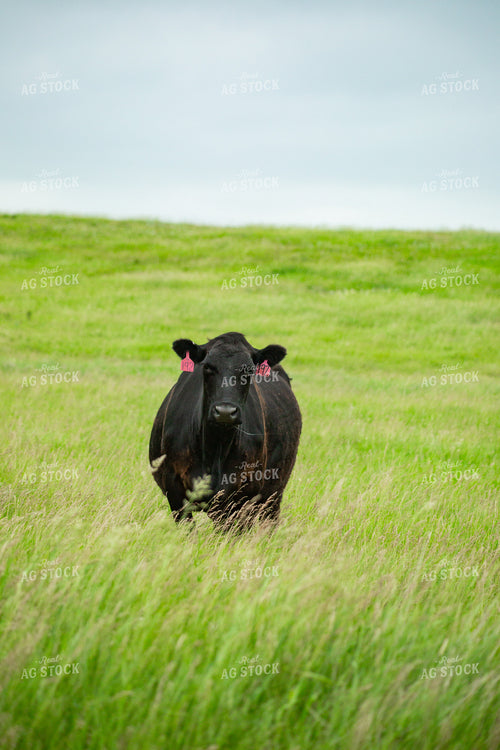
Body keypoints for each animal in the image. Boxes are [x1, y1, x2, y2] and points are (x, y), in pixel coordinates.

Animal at [149, 332, 302, 530]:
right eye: (207, 367)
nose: (225, 411)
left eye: (249, 370)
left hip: (273, 494)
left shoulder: (243, 495)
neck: (214, 449)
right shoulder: (174, 490)